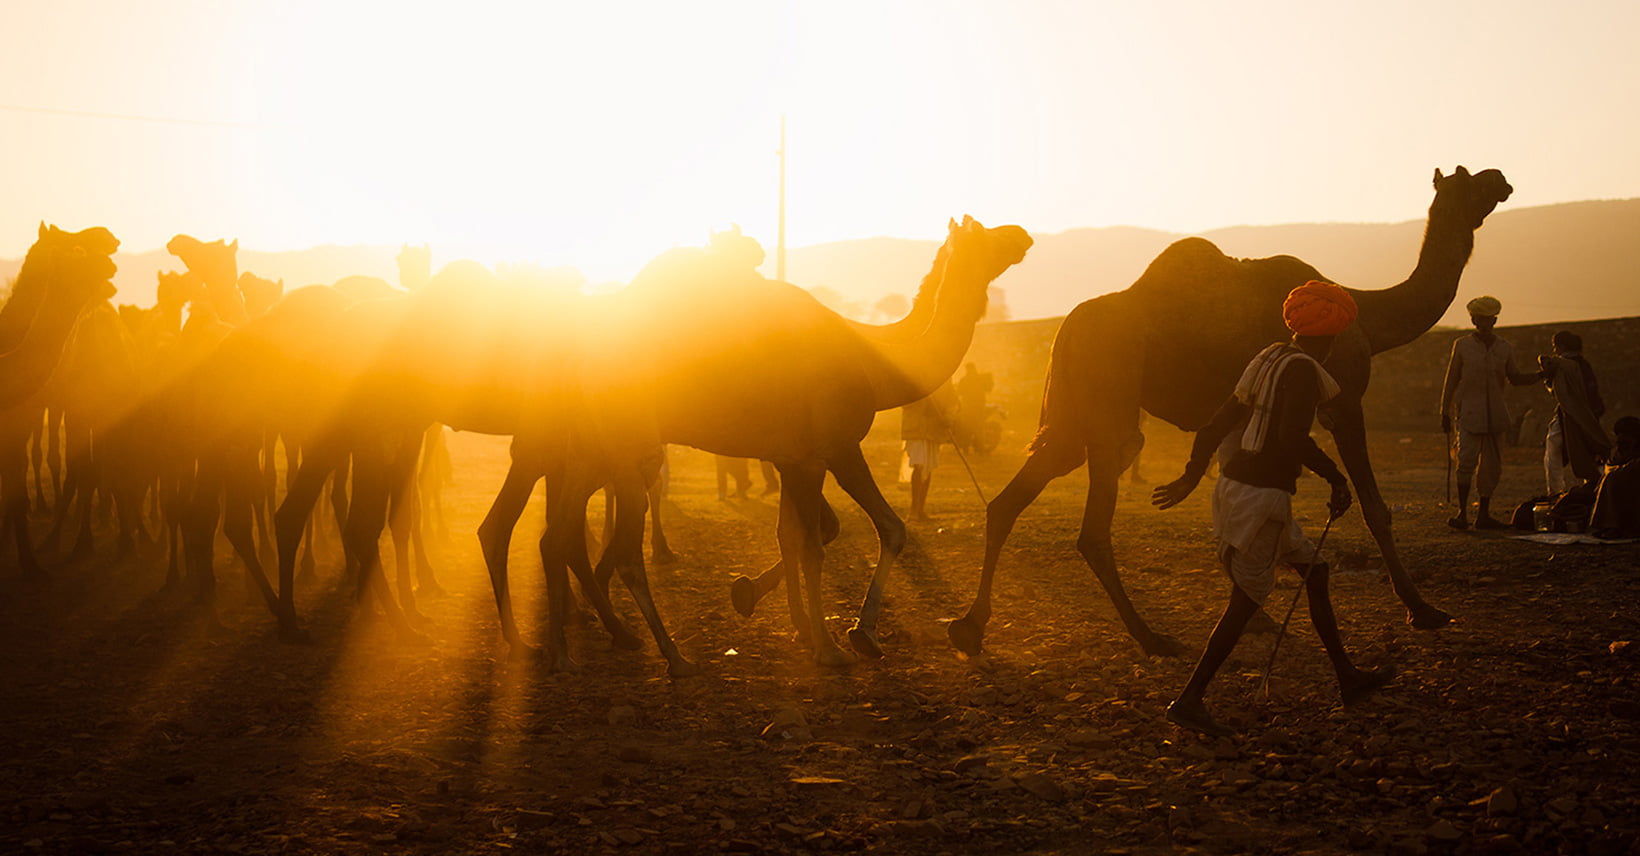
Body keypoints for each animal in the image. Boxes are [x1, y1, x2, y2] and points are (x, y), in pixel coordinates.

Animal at [478, 214, 1029, 665]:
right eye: (985, 234)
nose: (1021, 234)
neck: (876, 361)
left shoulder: (791, 458)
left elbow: (794, 535)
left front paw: (789, 620)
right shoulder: (832, 449)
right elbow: (860, 535)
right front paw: (845, 641)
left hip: (592, 452)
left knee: (554, 537)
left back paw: (568, 649)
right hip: (624, 446)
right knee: (601, 542)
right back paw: (660, 654)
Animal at [951, 168, 1508, 659]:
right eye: (1469, 181)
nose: (1502, 179)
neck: (1367, 314)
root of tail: (1066, 329)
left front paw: (1257, 614)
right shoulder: (1341, 399)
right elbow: (1375, 506)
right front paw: (1423, 609)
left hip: (1070, 415)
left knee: (1011, 500)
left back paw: (971, 626)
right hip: (1109, 408)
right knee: (1093, 525)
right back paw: (1152, 638)